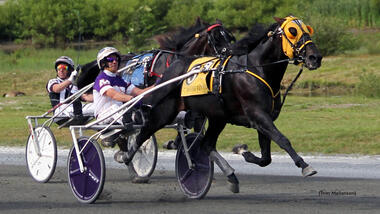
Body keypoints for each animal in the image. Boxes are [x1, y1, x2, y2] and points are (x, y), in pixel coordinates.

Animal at [127, 15, 320, 193]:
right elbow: (282, 139)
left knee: (206, 144)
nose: (315, 57)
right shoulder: (257, 114)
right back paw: (128, 156)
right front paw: (305, 166)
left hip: (217, 117)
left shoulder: (262, 118)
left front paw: (243, 151)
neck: (256, 68)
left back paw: (231, 176)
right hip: (166, 110)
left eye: (308, 29)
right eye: (293, 31)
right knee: (145, 130)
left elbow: (266, 158)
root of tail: (174, 67)